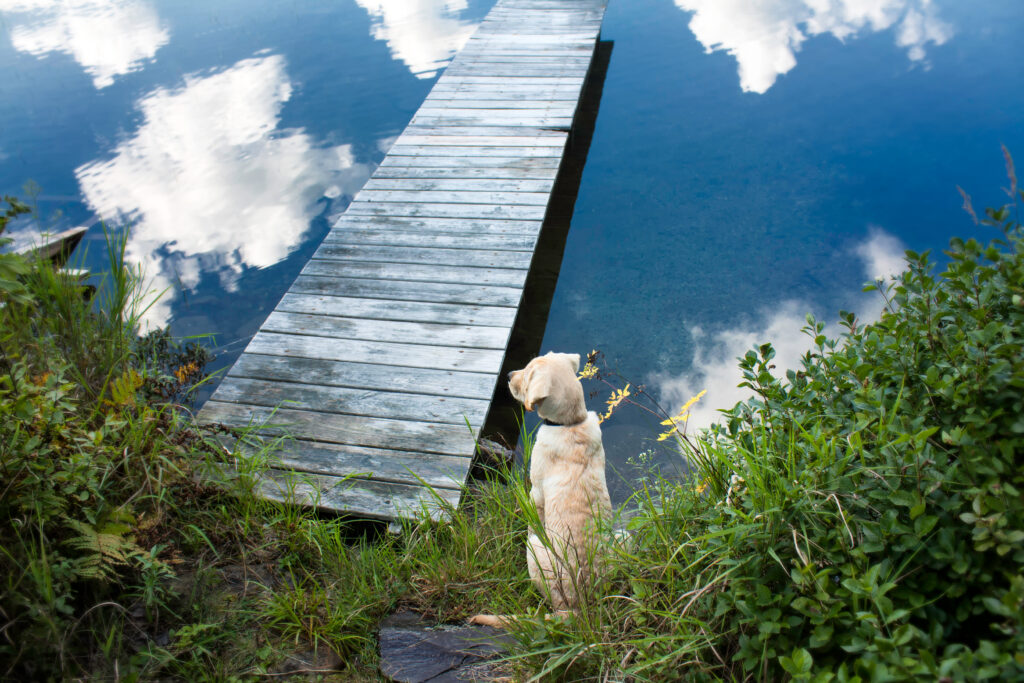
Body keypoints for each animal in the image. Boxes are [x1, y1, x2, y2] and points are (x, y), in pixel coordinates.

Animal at [468, 352, 606, 626]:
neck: (570, 423)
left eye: (529, 374)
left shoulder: (536, 492)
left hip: (534, 552)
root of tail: (578, 609)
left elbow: (533, 520)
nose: (509, 375)